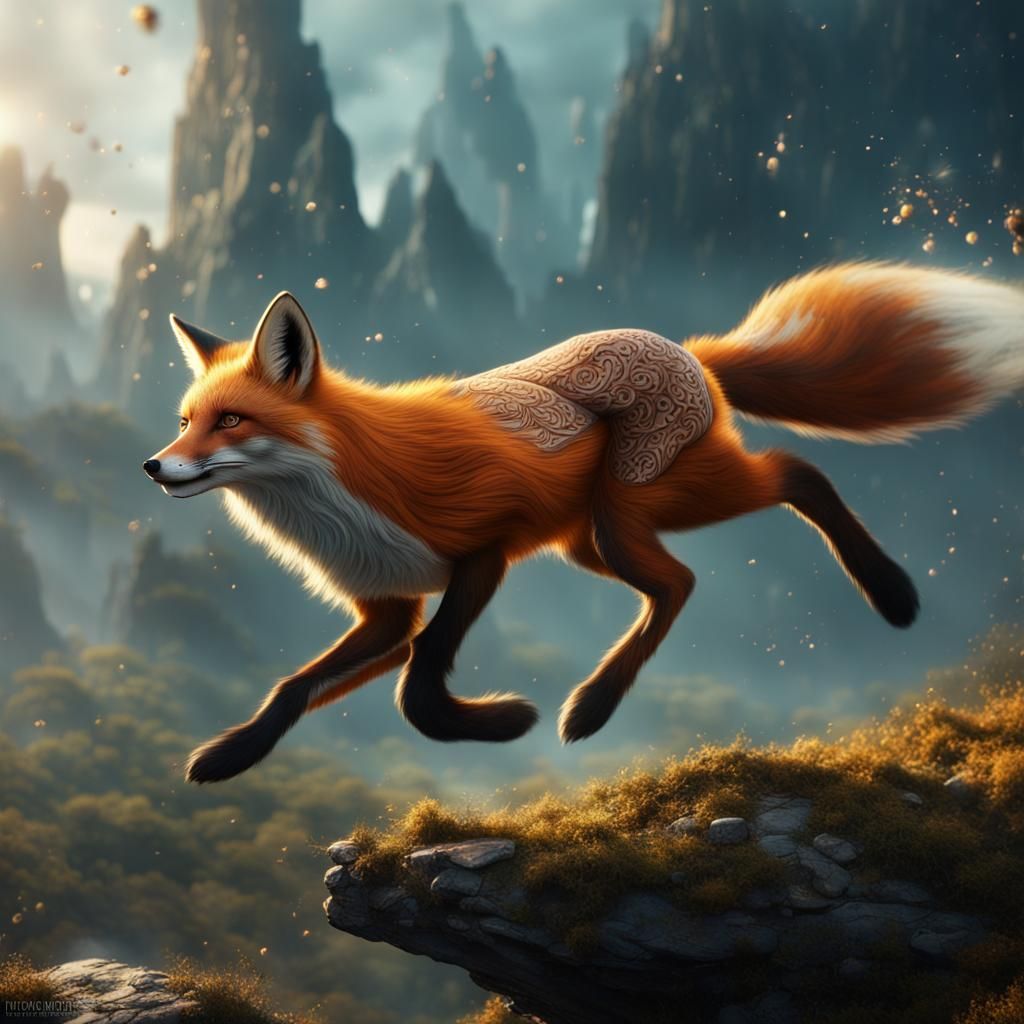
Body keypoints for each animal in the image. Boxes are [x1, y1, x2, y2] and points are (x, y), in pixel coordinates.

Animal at [142, 261, 1024, 784]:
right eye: (186, 420)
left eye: (229, 421)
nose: (154, 466)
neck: (339, 491)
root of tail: (688, 351)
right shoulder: (388, 606)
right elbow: (297, 686)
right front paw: (232, 754)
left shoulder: (483, 552)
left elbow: (419, 687)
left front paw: (505, 721)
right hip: (594, 539)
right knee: (678, 582)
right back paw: (598, 700)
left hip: (646, 505)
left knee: (791, 477)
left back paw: (888, 591)